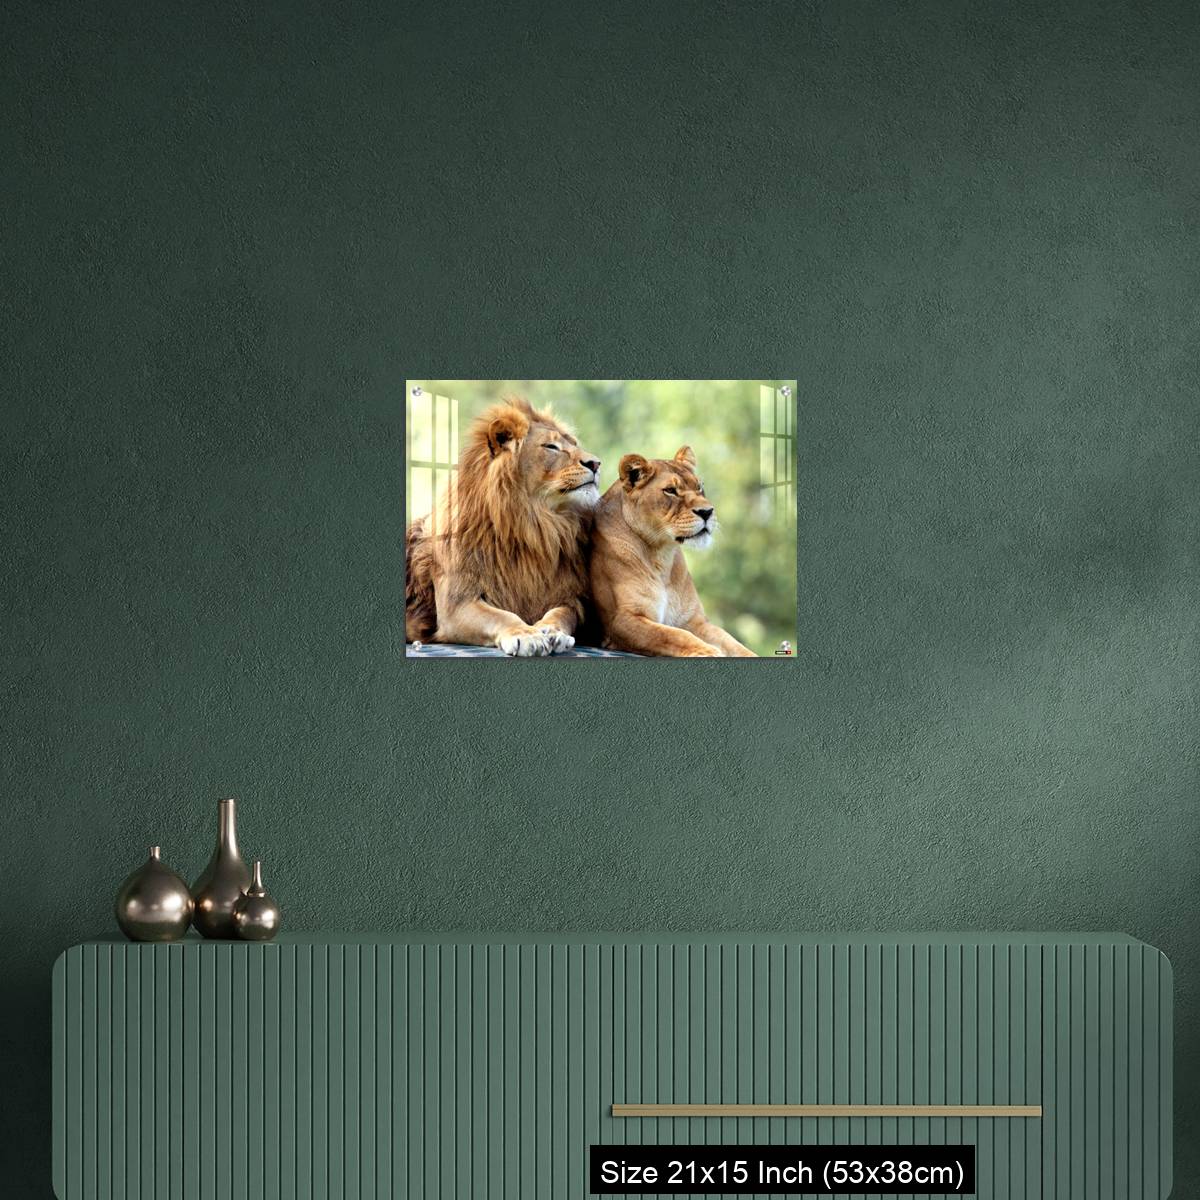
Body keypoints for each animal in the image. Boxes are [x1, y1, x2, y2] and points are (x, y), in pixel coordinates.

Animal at [405, 396, 601, 656]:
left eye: (574, 444)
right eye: (551, 447)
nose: (596, 463)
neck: (535, 526)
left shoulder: (569, 597)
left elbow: (561, 614)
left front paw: (552, 631)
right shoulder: (456, 604)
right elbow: (502, 616)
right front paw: (527, 635)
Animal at [588, 446, 756, 657]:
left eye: (699, 487)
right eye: (670, 491)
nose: (707, 512)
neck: (662, 555)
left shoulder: (693, 620)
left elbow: (731, 641)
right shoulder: (621, 620)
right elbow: (673, 635)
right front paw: (708, 651)